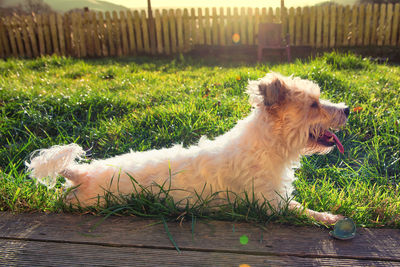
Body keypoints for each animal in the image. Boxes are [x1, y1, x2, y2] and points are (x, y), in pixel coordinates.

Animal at [26, 72, 348, 225]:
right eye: (314, 104)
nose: (346, 109)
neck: (266, 144)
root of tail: (82, 173)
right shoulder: (272, 206)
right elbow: (305, 211)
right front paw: (333, 218)